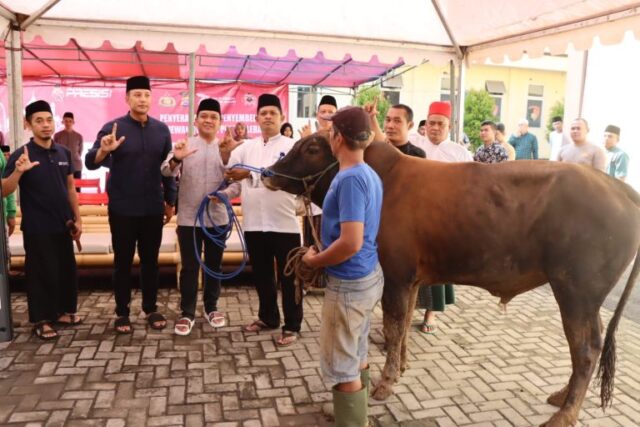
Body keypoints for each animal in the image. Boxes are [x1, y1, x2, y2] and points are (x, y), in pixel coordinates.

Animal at [262, 134, 640, 427]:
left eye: (312, 147)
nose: (267, 173)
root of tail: (617, 186)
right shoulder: (413, 279)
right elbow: (402, 326)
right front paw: (401, 367)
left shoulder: (396, 275)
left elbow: (394, 326)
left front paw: (385, 383)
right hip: (581, 297)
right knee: (586, 349)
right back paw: (562, 397)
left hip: (576, 292)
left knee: (586, 349)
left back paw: (564, 414)